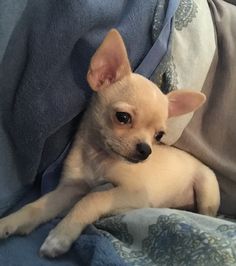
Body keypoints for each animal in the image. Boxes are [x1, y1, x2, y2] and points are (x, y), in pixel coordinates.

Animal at [0, 29, 220, 258]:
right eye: (122, 117)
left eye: (159, 136)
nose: (146, 150)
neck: (98, 157)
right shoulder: (69, 189)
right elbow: (36, 206)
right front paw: (8, 222)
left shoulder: (134, 194)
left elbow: (92, 199)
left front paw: (61, 235)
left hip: (207, 189)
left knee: (208, 212)